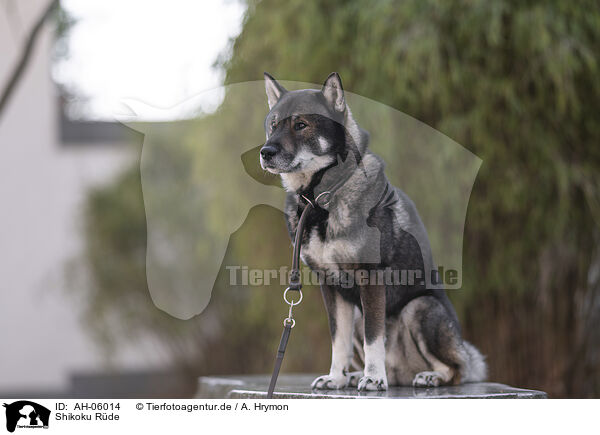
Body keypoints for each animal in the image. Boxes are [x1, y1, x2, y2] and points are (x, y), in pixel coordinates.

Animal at [260, 71, 486, 392]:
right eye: (273, 125)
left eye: (301, 125)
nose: (265, 152)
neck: (321, 199)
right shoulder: (331, 287)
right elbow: (338, 341)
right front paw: (335, 377)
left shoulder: (371, 277)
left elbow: (374, 337)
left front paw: (374, 377)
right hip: (359, 314)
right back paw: (356, 376)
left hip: (421, 308)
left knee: (456, 369)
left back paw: (426, 376)